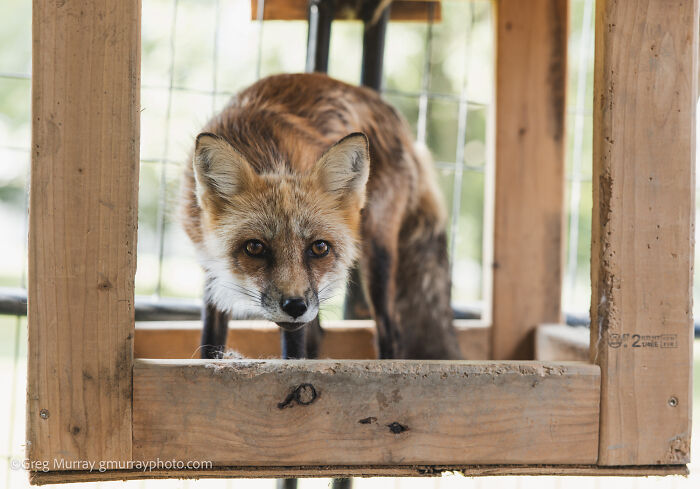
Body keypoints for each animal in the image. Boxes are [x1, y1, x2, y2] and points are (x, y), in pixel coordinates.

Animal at [181, 73, 461, 360]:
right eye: (255, 247)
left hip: (377, 254)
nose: (295, 306)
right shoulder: (209, 263)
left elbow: (293, 355)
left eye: (319, 247)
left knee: (391, 331)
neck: (268, 155)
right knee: (318, 336)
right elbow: (210, 342)